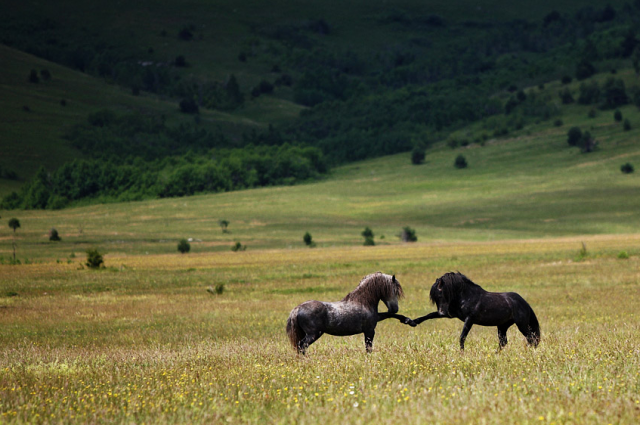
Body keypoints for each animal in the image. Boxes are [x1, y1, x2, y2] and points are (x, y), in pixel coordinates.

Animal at [410, 274, 540, 350]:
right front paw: (412, 322)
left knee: (531, 338)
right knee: (504, 342)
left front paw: (462, 354)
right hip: (502, 326)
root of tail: (524, 303)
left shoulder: (469, 319)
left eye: (441, 294)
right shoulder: (452, 314)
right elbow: (430, 315)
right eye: (435, 298)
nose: (442, 312)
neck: (467, 296)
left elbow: (462, 337)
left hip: (521, 325)